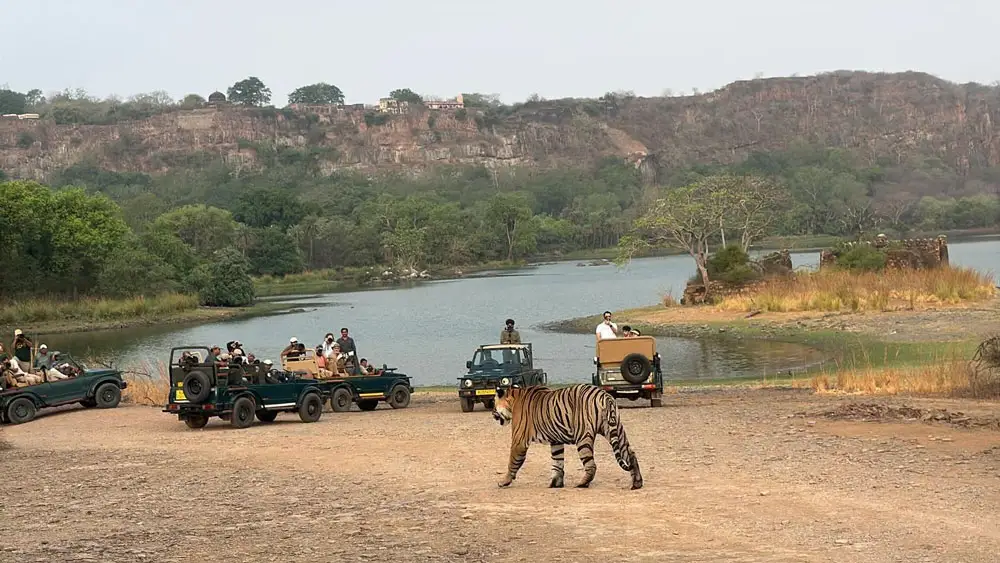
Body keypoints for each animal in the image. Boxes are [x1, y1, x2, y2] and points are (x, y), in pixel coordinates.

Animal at [491, 384, 643, 490]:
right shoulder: (556, 440)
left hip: (583, 437)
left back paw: (582, 483)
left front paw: (504, 481)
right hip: (615, 430)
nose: (492, 413)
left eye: (493, 403)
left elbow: (512, 462)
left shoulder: (519, 440)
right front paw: (555, 483)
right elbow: (557, 462)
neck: (514, 399)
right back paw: (637, 483)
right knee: (631, 453)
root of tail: (604, 395)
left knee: (591, 465)